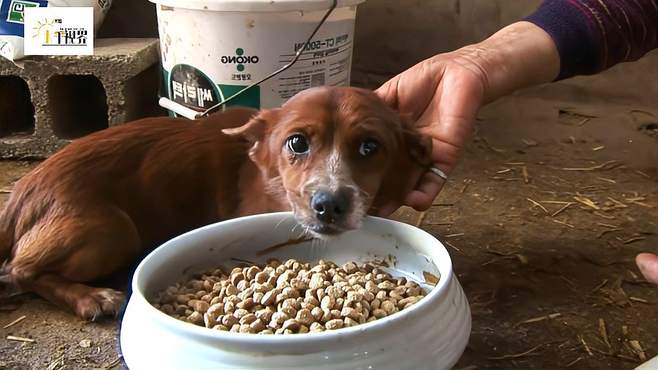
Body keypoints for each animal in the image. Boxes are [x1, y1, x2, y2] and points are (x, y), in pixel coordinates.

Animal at [0, 85, 430, 320]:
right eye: (297, 143)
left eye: (370, 147)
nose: (329, 205)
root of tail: (20, 194)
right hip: (113, 229)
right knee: (20, 270)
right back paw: (90, 296)